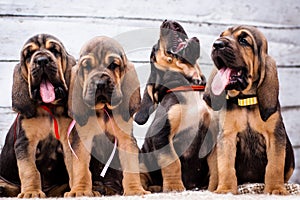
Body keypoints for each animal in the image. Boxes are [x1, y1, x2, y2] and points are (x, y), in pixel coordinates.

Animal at [0, 34, 76, 197]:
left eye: (54, 50)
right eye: (29, 54)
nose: (41, 60)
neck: (49, 109)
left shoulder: (68, 142)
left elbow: (75, 168)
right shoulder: (26, 143)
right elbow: (30, 171)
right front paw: (31, 192)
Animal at [67, 35, 149, 195]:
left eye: (113, 65)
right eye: (87, 66)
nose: (100, 83)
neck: (104, 110)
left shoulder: (125, 140)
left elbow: (131, 167)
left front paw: (135, 189)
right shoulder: (82, 140)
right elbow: (81, 168)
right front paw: (80, 190)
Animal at [134, 19, 216, 192]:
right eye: (155, 48)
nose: (166, 20)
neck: (192, 86)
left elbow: (216, 165)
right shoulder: (162, 135)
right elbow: (173, 162)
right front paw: (174, 187)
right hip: (141, 163)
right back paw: (153, 188)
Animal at [204, 25, 296, 194]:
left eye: (243, 40)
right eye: (221, 35)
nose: (217, 44)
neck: (245, 100)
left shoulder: (275, 135)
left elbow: (274, 165)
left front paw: (276, 189)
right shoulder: (227, 136)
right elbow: (226, 166)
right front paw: (226, 189)